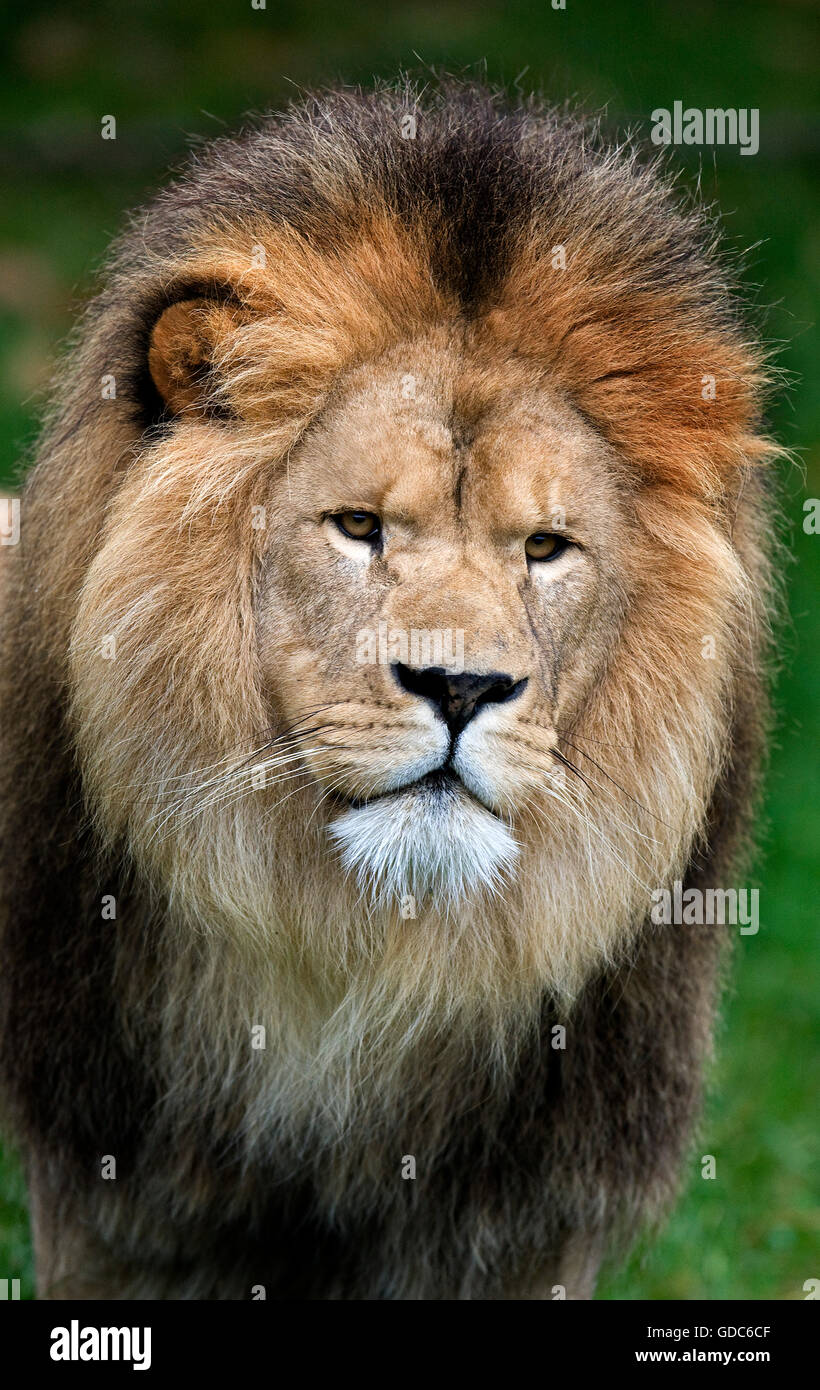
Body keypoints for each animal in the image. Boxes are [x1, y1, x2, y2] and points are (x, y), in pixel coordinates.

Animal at [0, 81, 779, 1300]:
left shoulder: (527, 1232)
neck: (366, 969)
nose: (460, 684)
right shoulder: (111, 1208)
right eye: (358, 526)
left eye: (545, 547)